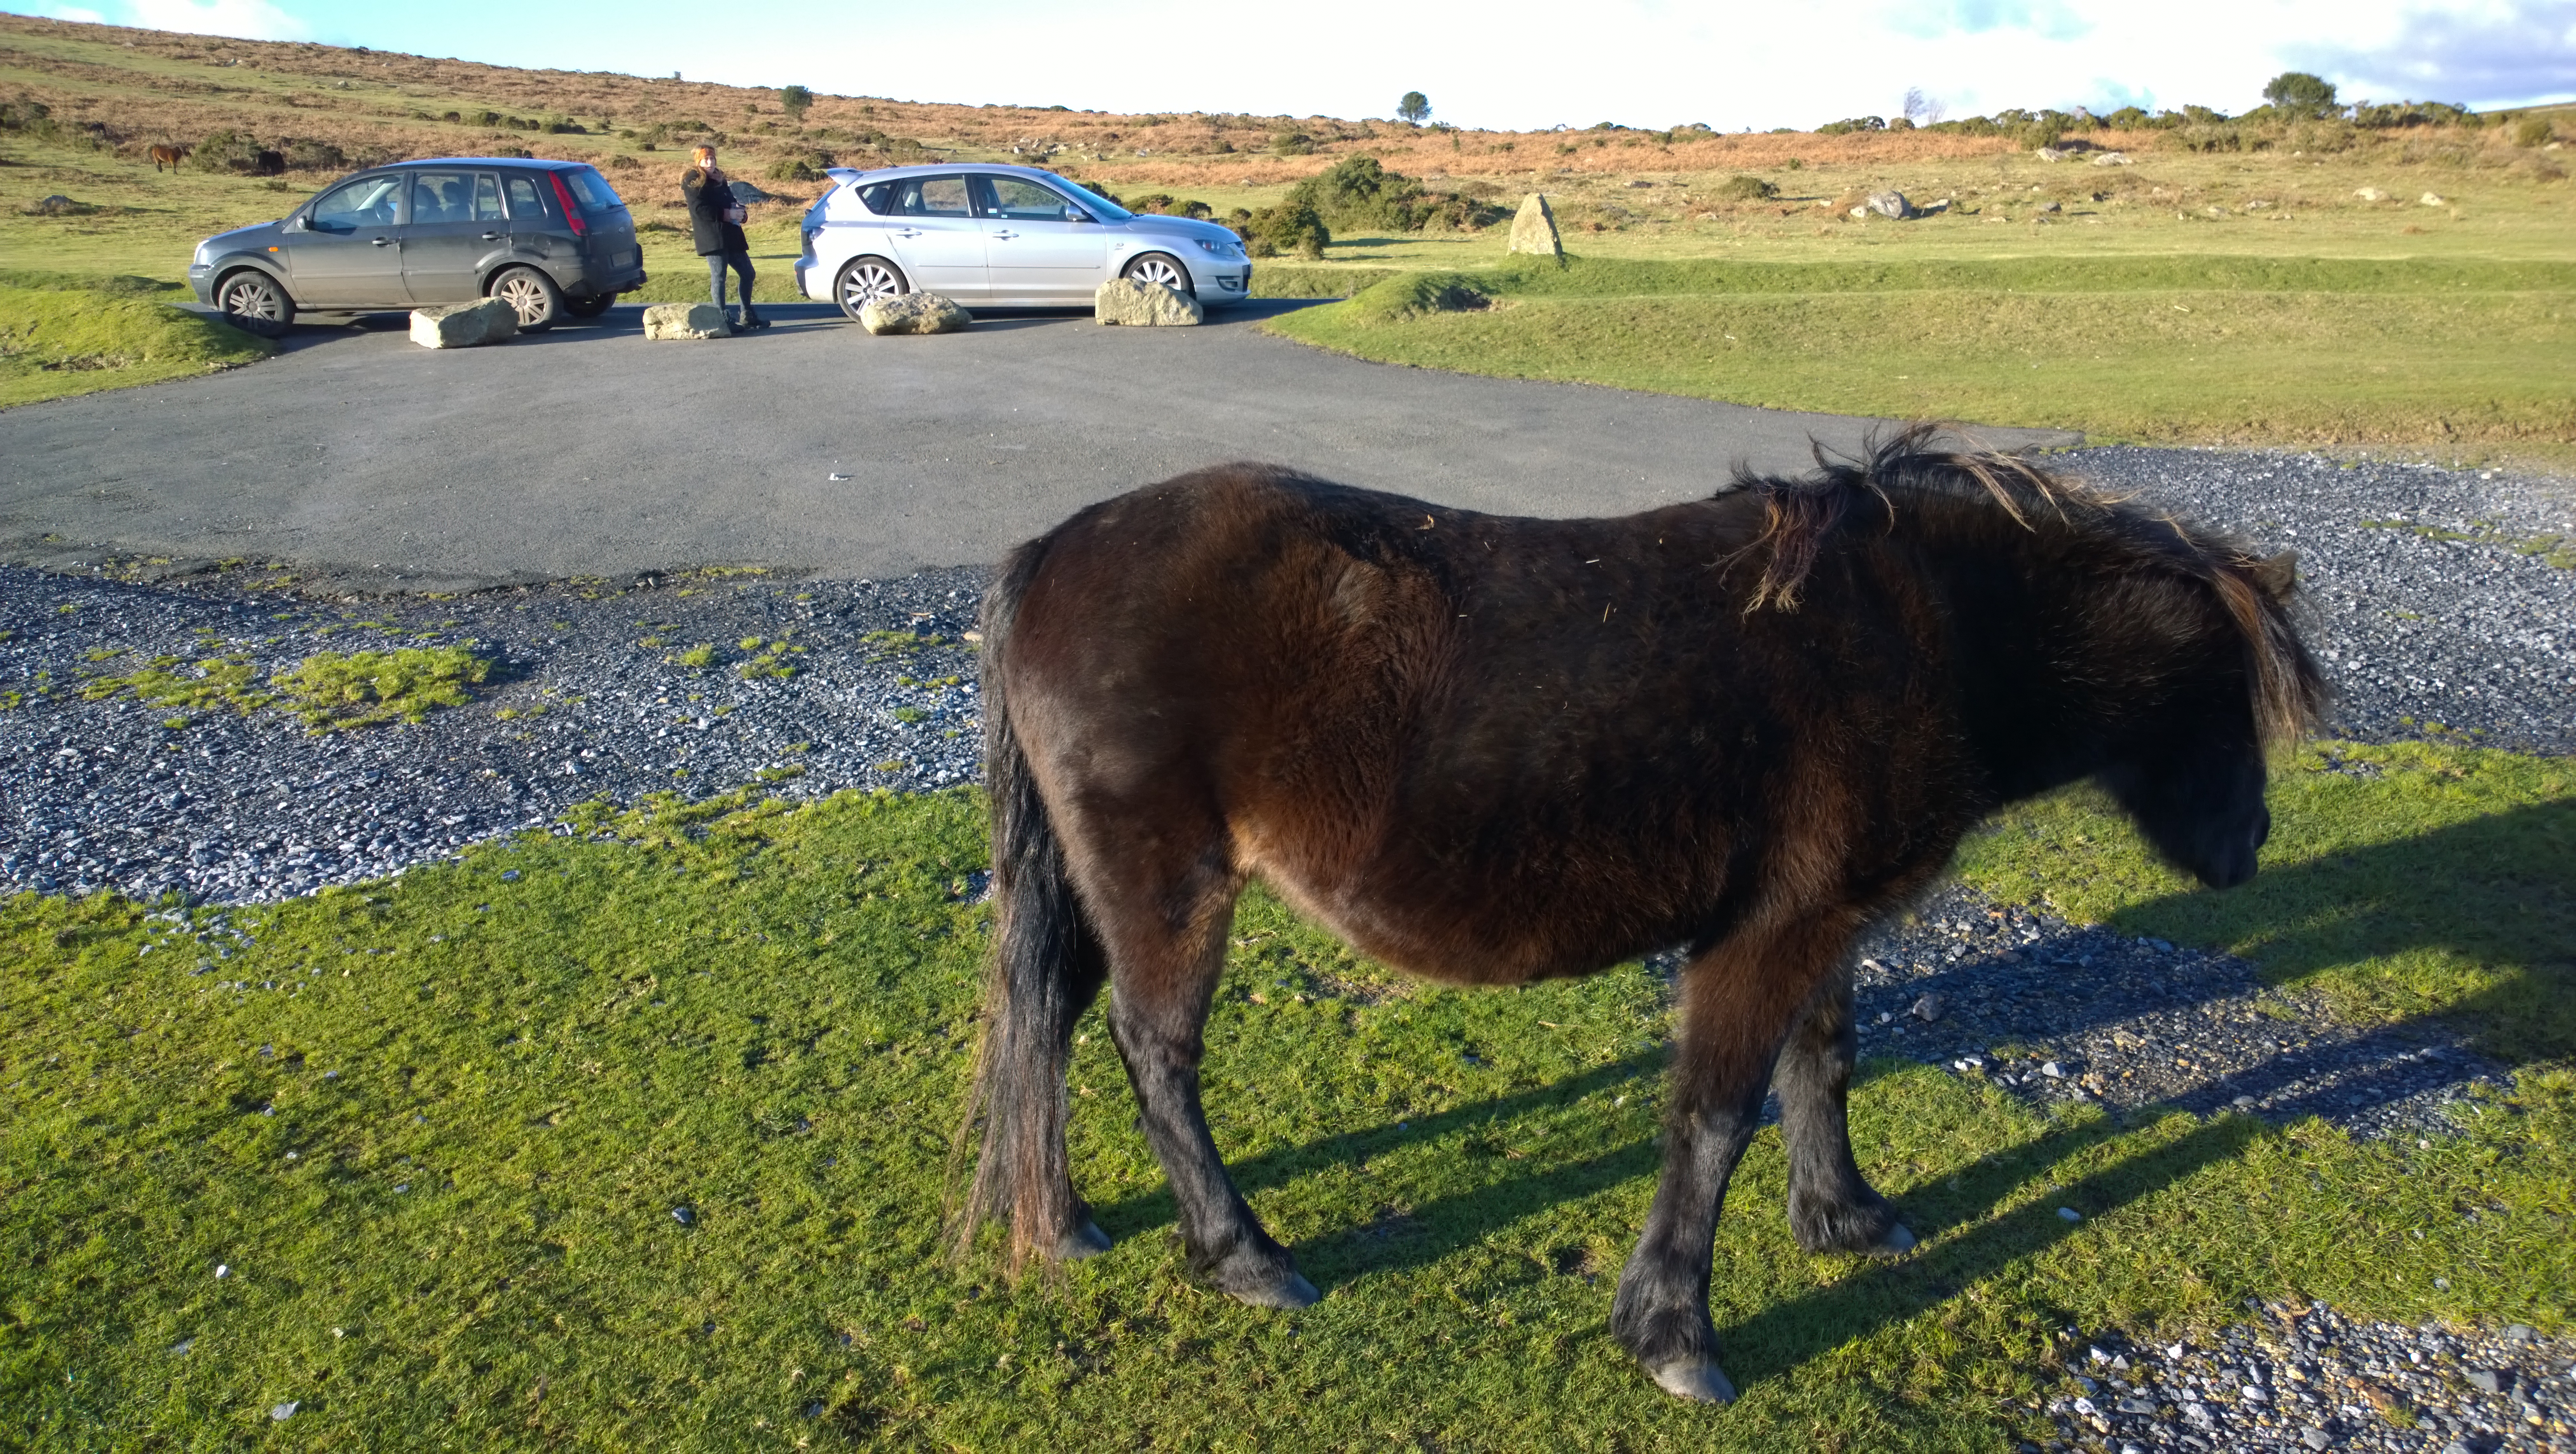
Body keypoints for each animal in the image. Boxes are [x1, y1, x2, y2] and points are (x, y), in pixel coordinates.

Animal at [955, 429, 2323, 1403]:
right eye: (2229, 694)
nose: (2246, 851)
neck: (1924, 633)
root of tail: (1054, 550)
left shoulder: (1822, 921)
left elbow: (1824, 1060)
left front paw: (1845, 1216)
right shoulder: (1760, 939)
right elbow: (1713, 1119)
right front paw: (1674, 1332)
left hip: (1098, 887)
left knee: (1054, 1022)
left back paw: (1065, 1221)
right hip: (1168, 886)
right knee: (1154, 1052)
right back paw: (1244, 1255)